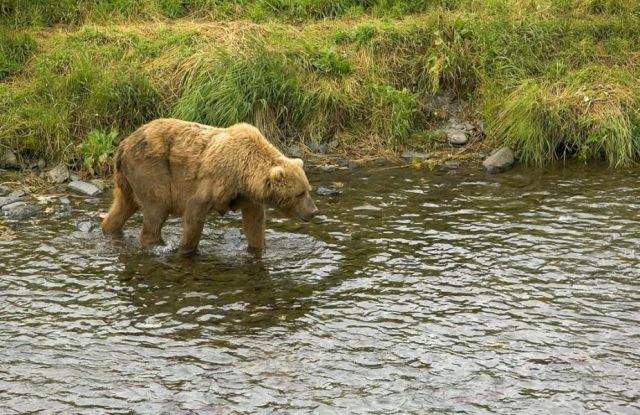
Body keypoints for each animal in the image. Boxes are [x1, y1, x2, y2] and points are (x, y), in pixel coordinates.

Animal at [100, 118, 318, 255]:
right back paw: (155, 243)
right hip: (150, 170)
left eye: (308, 190)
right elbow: (194, 212)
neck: (244, 173)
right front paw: (185, 249)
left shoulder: (245, 195)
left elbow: (254, 222)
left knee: (122, 206)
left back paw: (109, 229)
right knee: (156, 208)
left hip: (127, 179)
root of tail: (123, 144)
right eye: (299, 193)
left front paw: (258, 248)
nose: (314, 211)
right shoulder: (216, 180)